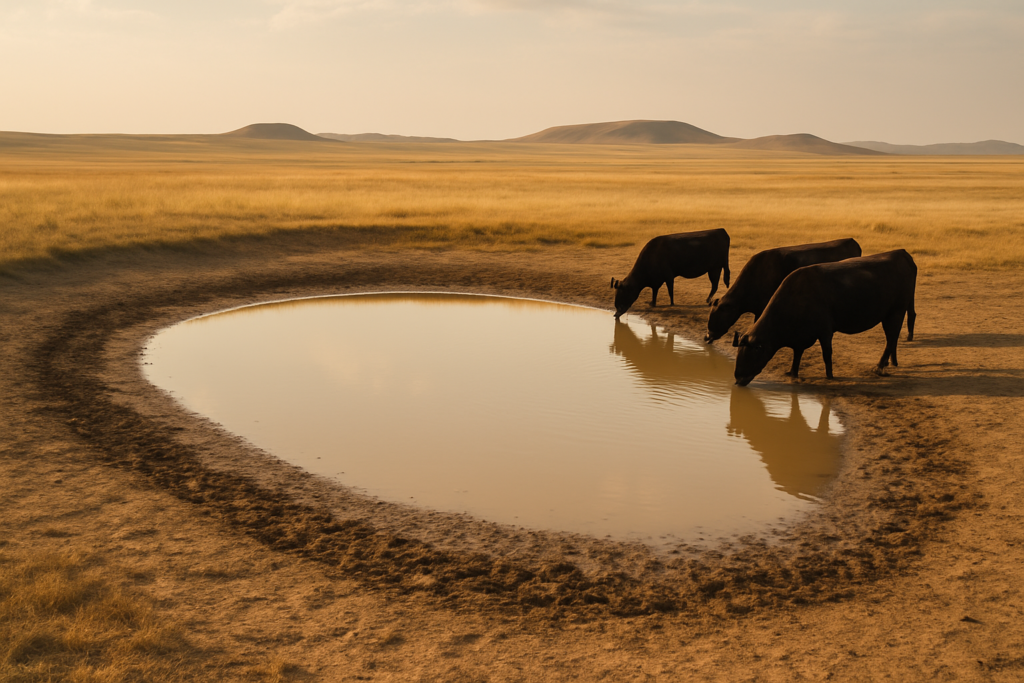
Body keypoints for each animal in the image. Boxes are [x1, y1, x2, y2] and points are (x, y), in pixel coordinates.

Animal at [733, 249, 917, 386]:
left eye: (750, 353)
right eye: (739, 352)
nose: (737, 378)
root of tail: (902, 254)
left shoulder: (825, 331)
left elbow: (826, 353)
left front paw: (829, 375)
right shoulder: (800, 337)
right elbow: (797, 354)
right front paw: (793, 372)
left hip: (897, 311)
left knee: (892, 338)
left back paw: (879, 367)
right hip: (889, 315)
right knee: (891, 338)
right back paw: (889, 363)